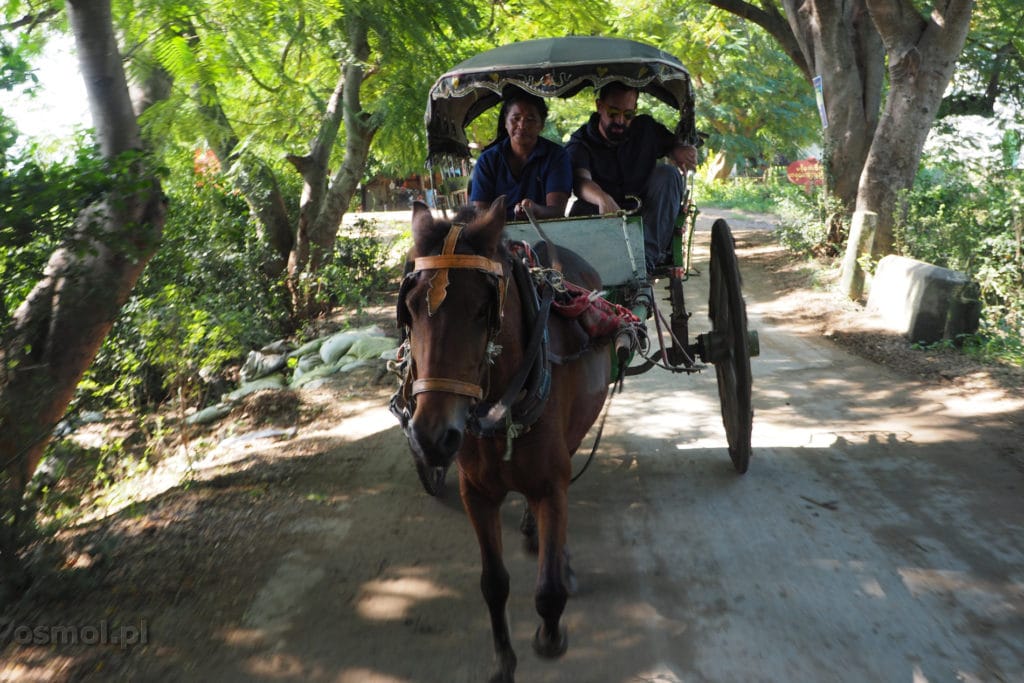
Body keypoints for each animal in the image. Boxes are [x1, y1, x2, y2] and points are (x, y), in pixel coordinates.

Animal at [391, 197, 606, 683]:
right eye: (408, 309)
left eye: (482, 310)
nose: (431, 437)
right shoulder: (476, 492)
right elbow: (493, 583)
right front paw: (504, 659)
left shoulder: (552, 484)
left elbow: (548, 588)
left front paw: (550, 635)